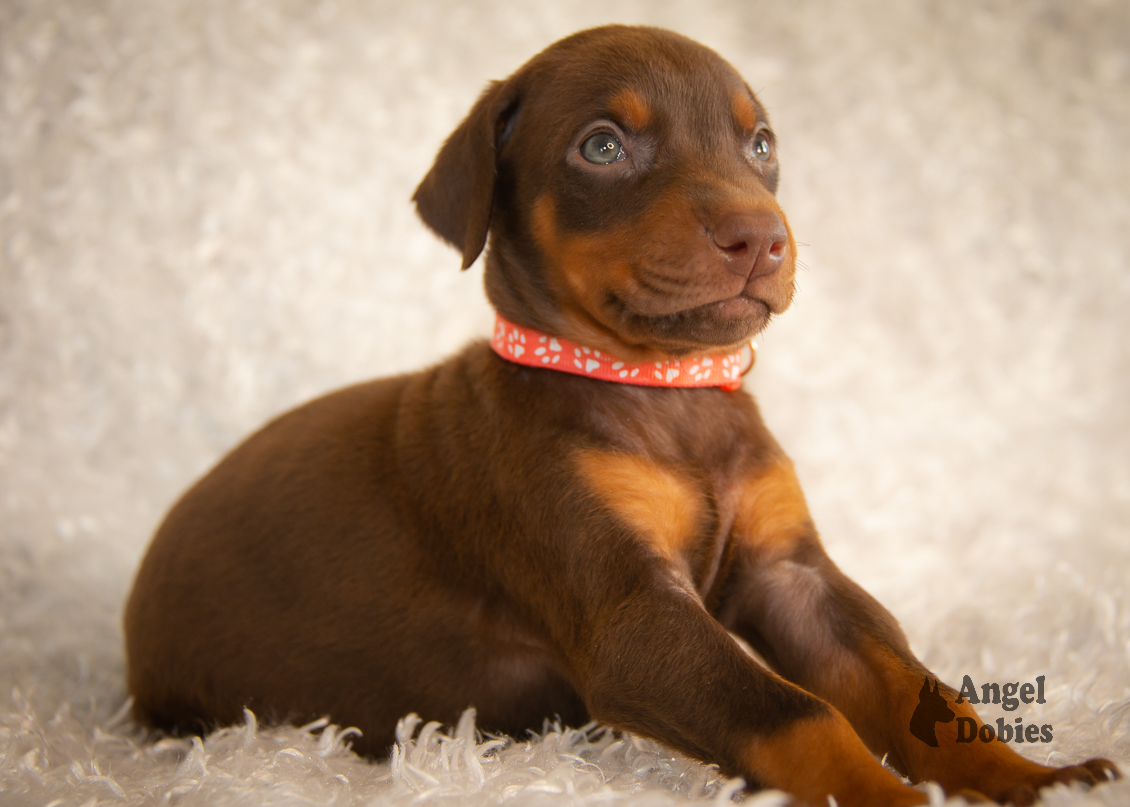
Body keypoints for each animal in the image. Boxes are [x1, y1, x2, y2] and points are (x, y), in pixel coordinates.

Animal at [125, 25, 1120, 804]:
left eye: (761, 143)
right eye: (602, 148)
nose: (764, 238)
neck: (666, 395)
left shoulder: (797, 578)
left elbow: (917, 690)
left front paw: (1036, 779)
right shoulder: (633, 615)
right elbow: (797, 713)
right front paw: (899, 799)